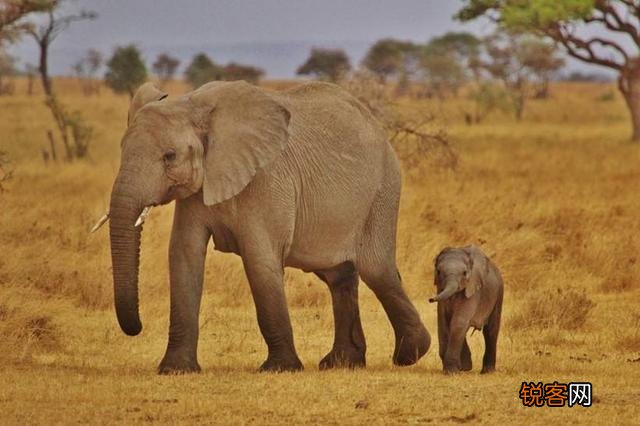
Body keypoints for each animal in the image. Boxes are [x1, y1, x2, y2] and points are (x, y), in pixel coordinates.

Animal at [99, 80, 431, 374]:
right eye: (122, 148)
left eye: (169, 156)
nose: (137, 328)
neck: (194, 106)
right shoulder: (196, 192)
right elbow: (184, 255)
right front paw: (175, 370)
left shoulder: (267, 180)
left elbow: (259, 260)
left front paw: (280, 368)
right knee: (338, 275)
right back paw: (342, 363)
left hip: (382, 191)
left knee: (377, 270)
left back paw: (410, 354)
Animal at [429, 245, 503, 374]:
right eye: (438, 272)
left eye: (464, 273)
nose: (430, 299)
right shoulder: (441, 290)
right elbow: (444, 322)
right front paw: (460, 368)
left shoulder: (473, 289)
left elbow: (458, 322)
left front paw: (451, 372)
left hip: (499, 293)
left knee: (491, 330)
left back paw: (487, 371)